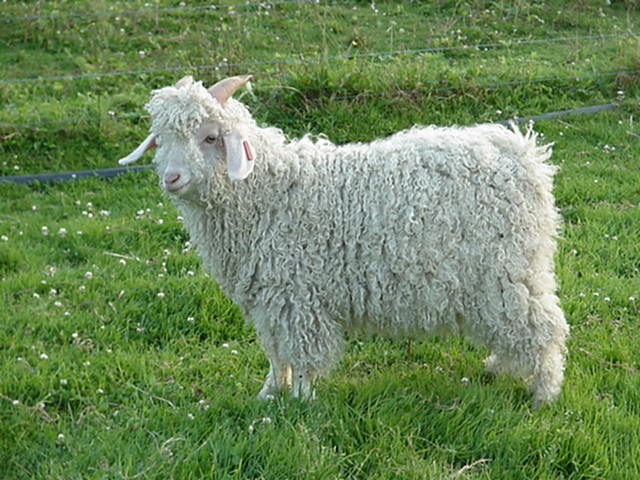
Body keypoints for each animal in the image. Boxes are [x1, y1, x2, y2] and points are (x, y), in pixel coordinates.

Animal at [121, 74, 568, 404]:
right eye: (161, 139)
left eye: (211, 137)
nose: (171, 178)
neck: (267, 191)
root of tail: (522, 153)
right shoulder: (267, 296)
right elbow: (275, 350)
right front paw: (268, 393)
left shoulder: (297, 294)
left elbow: (302, 351)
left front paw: (301, 400)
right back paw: (501, 367)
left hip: (506, 269)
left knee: (543, 325)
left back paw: (544, 394)